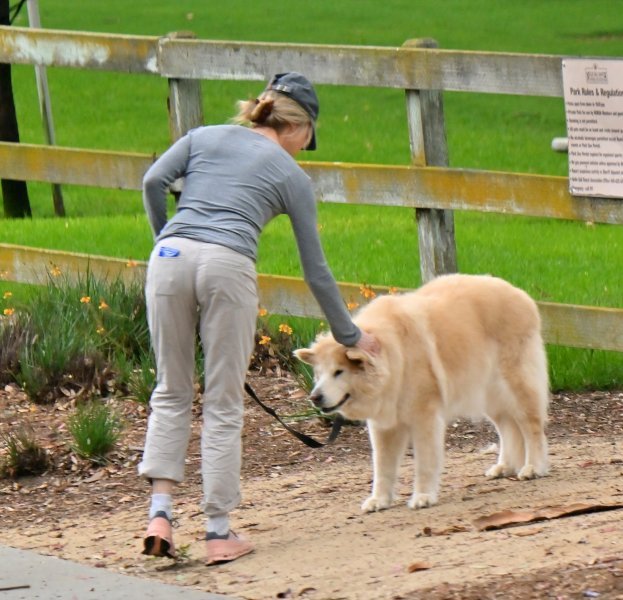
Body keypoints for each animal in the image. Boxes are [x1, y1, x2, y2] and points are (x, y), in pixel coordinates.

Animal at [294, 272, 548, 510]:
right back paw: (505, 466)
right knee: (508, 428)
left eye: (339, 372)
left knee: (531, 427)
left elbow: (424, 463)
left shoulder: (424, 418)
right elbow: (382, 468)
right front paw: (379, 500)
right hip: (490, 395)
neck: (396, 357)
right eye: (319, 374)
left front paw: (423, 496)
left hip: (516, 388)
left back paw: (533, 467)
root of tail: (520, 295)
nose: (315, 397)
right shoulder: (383, 426)